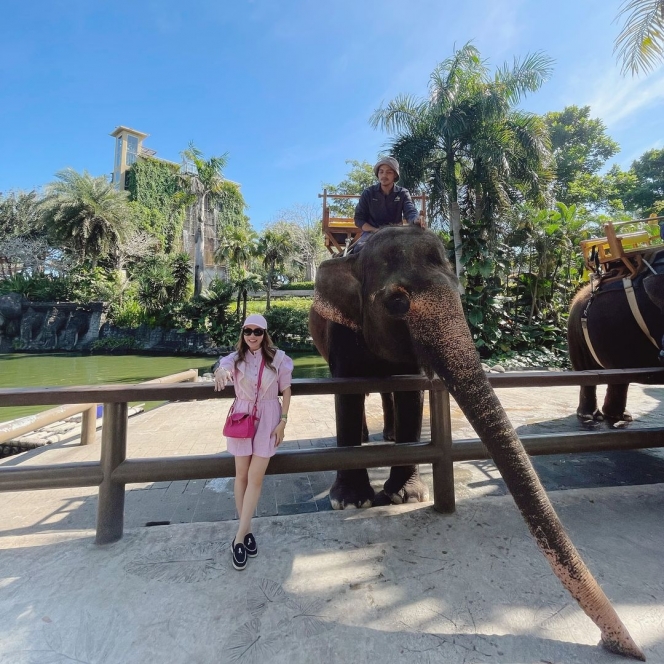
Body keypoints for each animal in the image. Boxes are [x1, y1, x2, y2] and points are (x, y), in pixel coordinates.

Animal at [310, 226, 644, 660]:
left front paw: (406, 496)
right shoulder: (341, 334)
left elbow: (410, 392)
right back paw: (371, 441)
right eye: (398, 302)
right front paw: (352, 503)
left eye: (459, 291)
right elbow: (347, 393)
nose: (619, 645)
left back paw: (388, 438)